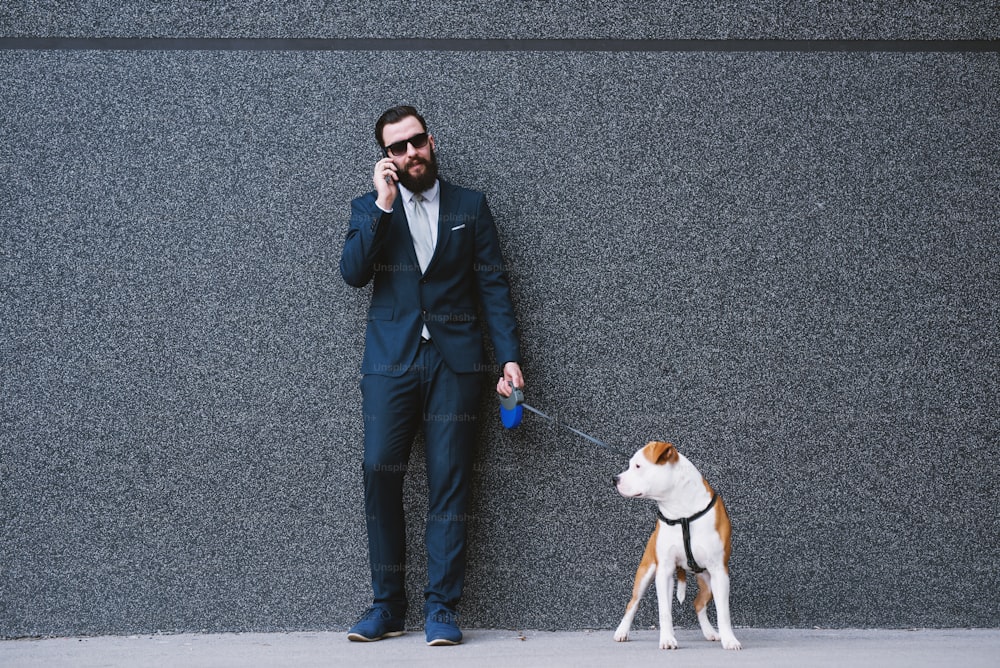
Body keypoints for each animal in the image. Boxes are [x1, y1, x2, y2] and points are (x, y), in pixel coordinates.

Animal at [608, 440, 744, 648]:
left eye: (638, 466)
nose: (615, 479)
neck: (682, 512)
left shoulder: (720, 572)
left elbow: (724, 613)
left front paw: (729, 640)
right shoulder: (664, 571)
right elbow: (665, 611)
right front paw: (667, 639)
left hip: (708, 582)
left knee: (698, 604)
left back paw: (710, 632)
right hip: (646, 572)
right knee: (633, 603)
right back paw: (622, 632)